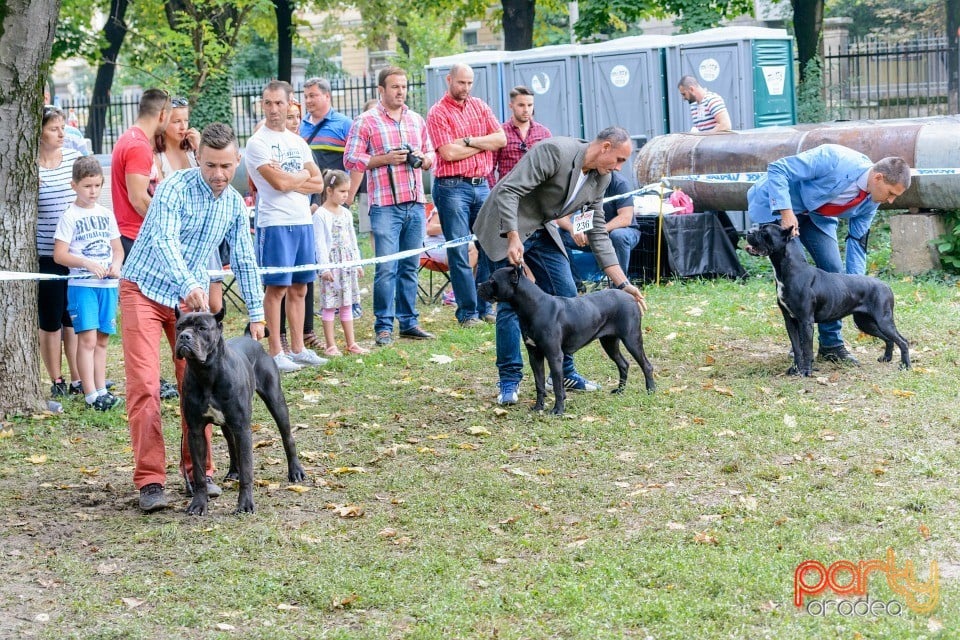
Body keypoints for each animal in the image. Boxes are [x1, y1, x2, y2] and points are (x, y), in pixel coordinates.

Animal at [478, 264, 656, 416]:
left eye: (492, 280)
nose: (479, 285)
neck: (533, 307)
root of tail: (630, 296)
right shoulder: (535, 355)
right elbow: (539, 384)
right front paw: (538, 407)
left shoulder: (554, 355)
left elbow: (557, 385)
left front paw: (558, 410)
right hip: (609, 342)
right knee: (623, 364)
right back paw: (620, 391)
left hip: (631, 339)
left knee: (646, 365)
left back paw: (651, 391)